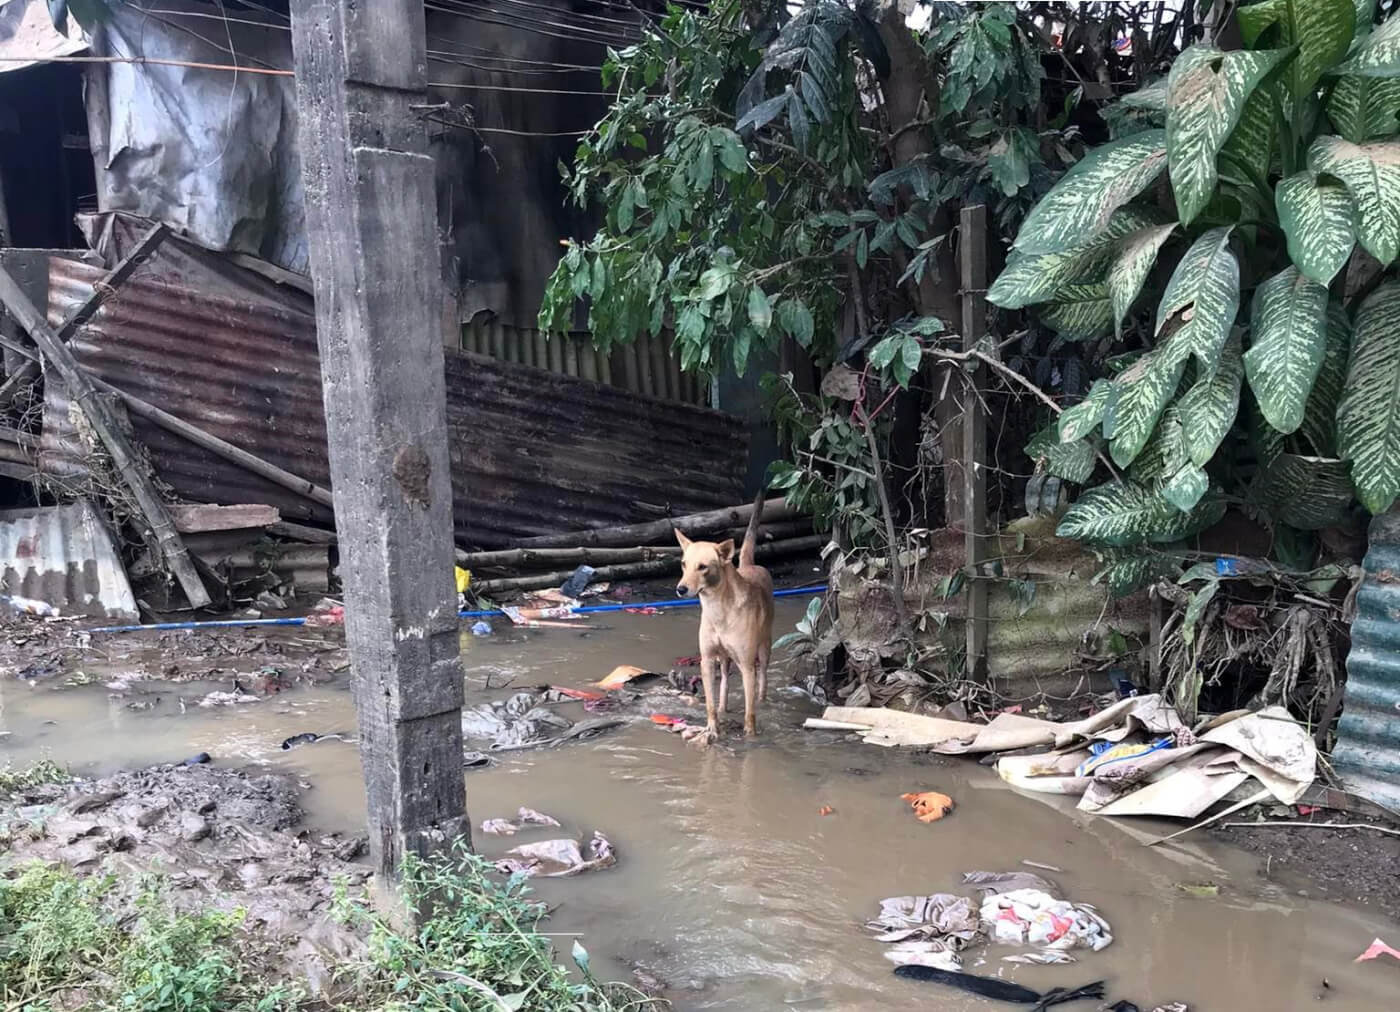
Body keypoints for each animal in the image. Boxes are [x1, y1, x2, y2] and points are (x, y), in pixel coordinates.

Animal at [669, 492, 772, 744]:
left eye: (703, 567)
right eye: (683, 564)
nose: (680, 589)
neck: (718, 609)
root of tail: (748, 565)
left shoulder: (748, 666)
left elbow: (750, 711)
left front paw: (750, 737)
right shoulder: (706, 660)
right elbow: (709, 703)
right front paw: (712, 729)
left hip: (764, 648)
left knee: (763, 680)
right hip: (723, 659)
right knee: (724, 680)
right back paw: (724, 708)